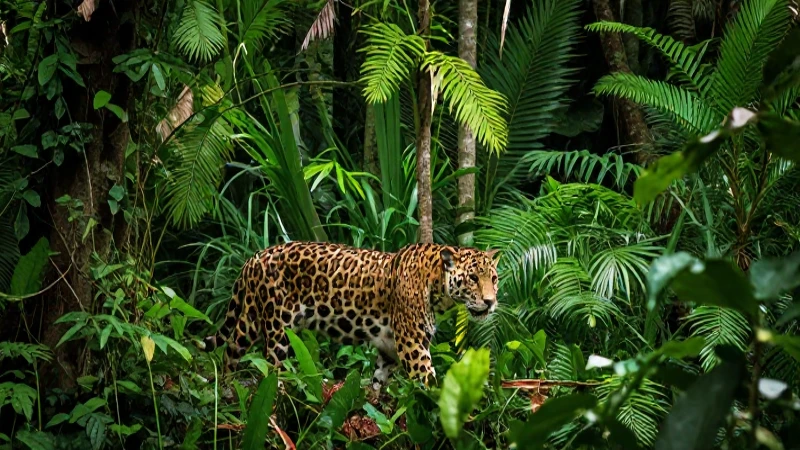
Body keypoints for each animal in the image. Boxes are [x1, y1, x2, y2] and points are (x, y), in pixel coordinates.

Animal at [206, 241, 499, 388]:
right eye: (473, 278)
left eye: (494, 279)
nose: (490, 302)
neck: (437, 284)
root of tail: (254, 257)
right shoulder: (413, 346)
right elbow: (430, 385)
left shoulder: (389, 350)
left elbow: (378, 385)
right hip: (278, 329)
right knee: (270, 367)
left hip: (251, 317)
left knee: (230, 350)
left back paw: (228, 390)